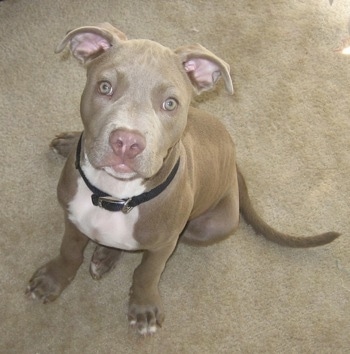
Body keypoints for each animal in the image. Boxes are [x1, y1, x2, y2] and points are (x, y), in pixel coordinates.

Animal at [26, 24, 340, 334]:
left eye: (170, 103)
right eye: (105, 87)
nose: (127, 143)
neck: (115, 194)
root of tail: (234, 164)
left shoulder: (164, 245)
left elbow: (147, 273)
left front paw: (143, 307)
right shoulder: (72, 216)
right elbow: (70, 250)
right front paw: (53, 279)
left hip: (210, 226)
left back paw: (107, 253)